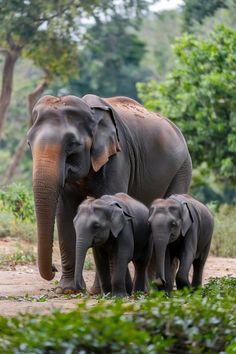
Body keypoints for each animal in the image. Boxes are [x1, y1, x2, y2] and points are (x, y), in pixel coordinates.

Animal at [27, 94, 192, 294]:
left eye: (72, 144)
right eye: (29, 143)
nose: (53, 268)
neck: (91, 111)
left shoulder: (118, 158)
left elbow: (111, 200)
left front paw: (100, 291)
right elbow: (65, 213)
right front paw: (67, 290)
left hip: (182, 169)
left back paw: (156, 288)